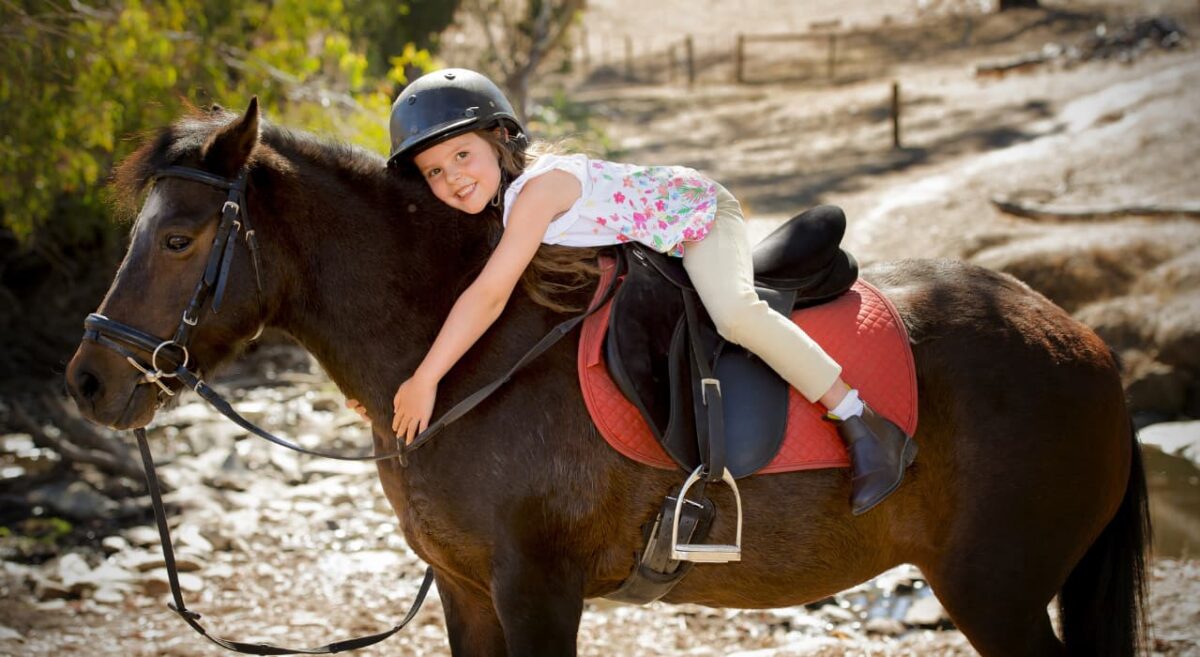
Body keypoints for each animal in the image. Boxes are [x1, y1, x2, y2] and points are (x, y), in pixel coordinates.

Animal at [68, 101, 1152, 657]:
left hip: (995, 592)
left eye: (177, 237)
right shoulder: (469, 591)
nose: (87, 383)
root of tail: (1088, 348)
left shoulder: (538, 590)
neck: (477, 357)